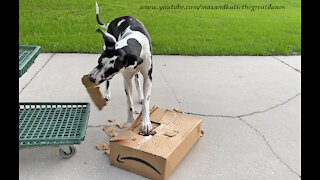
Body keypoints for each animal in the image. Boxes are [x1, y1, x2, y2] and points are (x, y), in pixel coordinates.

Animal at [87, 2, 152, 134]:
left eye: (111, 69)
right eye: (99, 61)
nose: (91, 78)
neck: (134, 40)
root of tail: (113, 20)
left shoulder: (148, 77)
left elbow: (146, 102)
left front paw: (145, 122)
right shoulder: (126, 80)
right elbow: (129, 103)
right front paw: (129, 122)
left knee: (137, 79)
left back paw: (140, 95)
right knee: (108, 82)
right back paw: (107, 93)